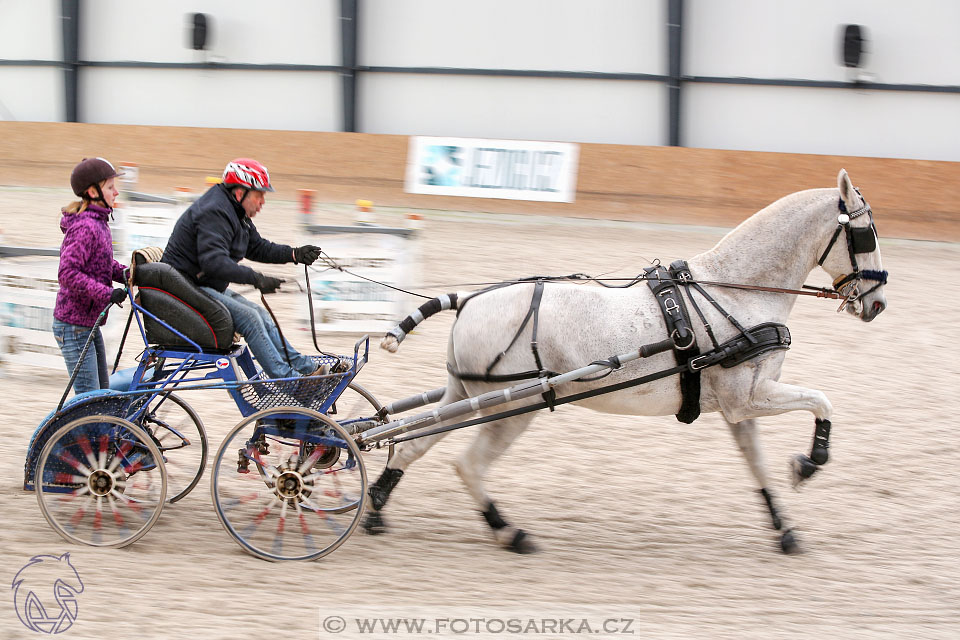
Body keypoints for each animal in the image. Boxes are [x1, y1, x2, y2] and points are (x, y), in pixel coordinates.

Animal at [366, 171, 884, 556]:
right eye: (864, 233)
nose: (877, 304)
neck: (735, 289)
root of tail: (471, 300)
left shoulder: (738, 409)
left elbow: (759, 467)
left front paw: (785, 529)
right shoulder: (750, 399)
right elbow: (823, 401)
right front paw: (811, 462)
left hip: (467, 397)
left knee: (409, 444)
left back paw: (375, 507)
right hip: (513, 408)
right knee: (467, 465)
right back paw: (509, 532)